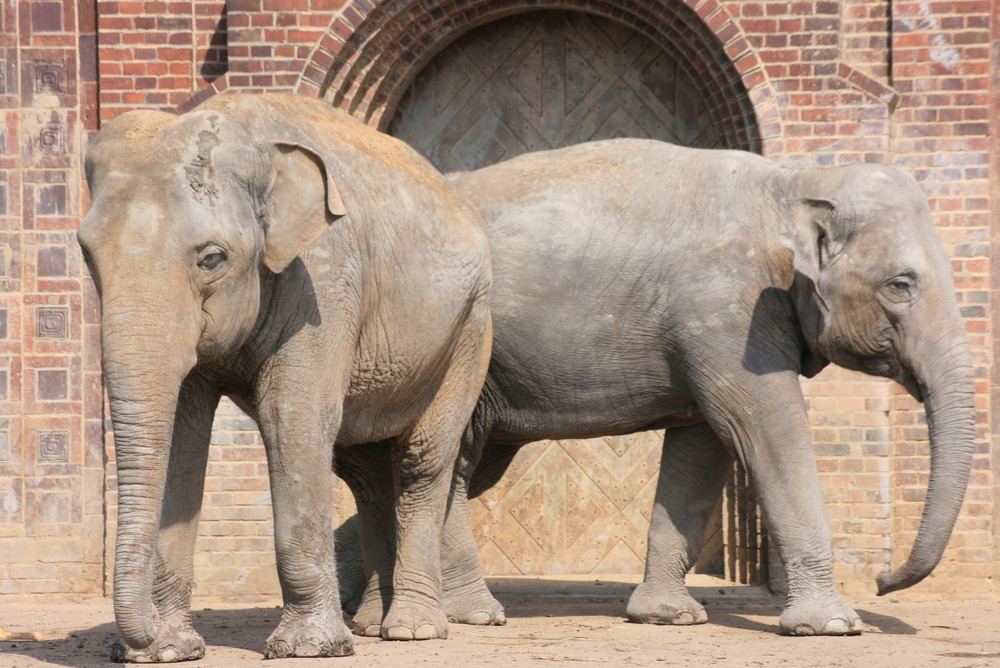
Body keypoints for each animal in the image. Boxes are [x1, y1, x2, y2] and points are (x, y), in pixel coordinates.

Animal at [80, 91, 494, 660]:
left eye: (212, 258)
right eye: (86, 254)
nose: (132, 646)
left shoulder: (323, 279)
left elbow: (291, 417)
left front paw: (309, 648)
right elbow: (185, 435)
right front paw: (169, 652)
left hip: (471, 328)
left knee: (422, 461)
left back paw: (412, 628)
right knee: (367, 473)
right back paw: (371, 624)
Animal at [340, 137, 972, 636]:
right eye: (900, 285)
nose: (884, 580)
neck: (794, 181)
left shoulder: (714, 334)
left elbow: (702, 449)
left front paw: (668, 616)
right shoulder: (728, 313)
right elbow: (766, 429)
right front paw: (832, 626)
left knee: (464, 468)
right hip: (461, 351)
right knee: (455, 464)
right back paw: (470, 614)